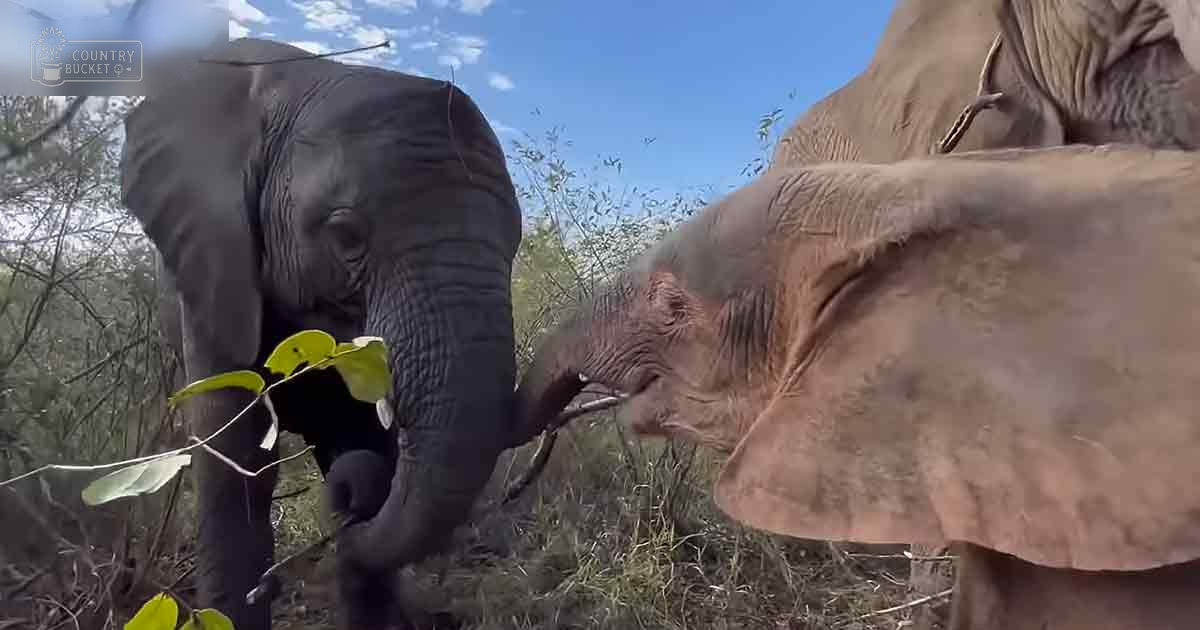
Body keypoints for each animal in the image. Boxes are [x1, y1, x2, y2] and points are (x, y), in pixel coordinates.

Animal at [121, 38, 522, 630]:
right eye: (345, 234)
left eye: (515, 241)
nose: (350, 504)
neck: (301, 82)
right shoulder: (213, 267)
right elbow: (233, 460)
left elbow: (360, 435)